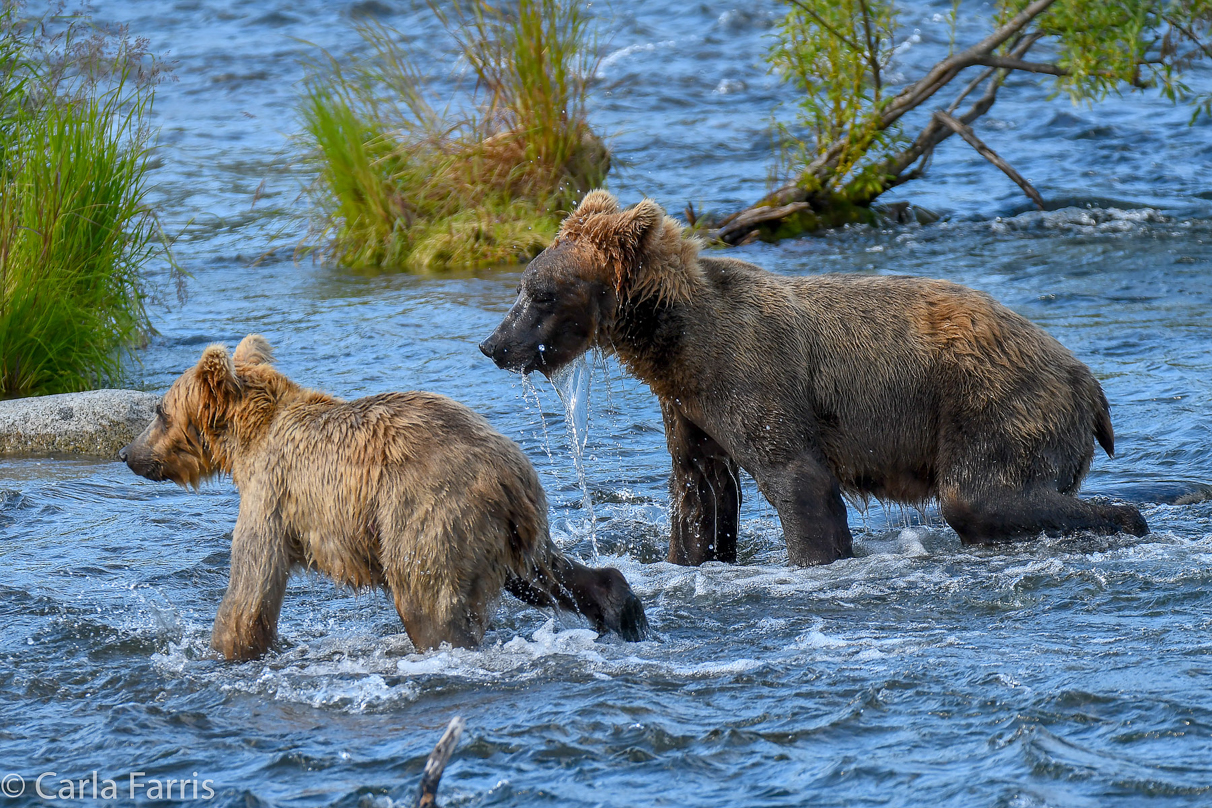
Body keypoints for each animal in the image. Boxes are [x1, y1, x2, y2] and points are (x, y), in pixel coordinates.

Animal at [119, 334, 649, 658]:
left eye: (159, 410)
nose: (128, 453)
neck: (248, 440)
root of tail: (506, 474)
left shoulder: (271, 493)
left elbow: (252, 584)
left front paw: (226, 646)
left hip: (428, 516)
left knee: (429, 607)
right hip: (513, 529)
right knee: (550, 574)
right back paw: (623, 610)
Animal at [477, 190, 1148, 569]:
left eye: (540, 291)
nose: (494, 345)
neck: (680, 342)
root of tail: (1086, 382)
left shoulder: (750, 375)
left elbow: (799, 481)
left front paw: (811, 560)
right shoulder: (687, 405)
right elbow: (699, 491)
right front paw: (690, 557)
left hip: (993, 400)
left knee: (982, 495)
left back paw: (1125, 521)